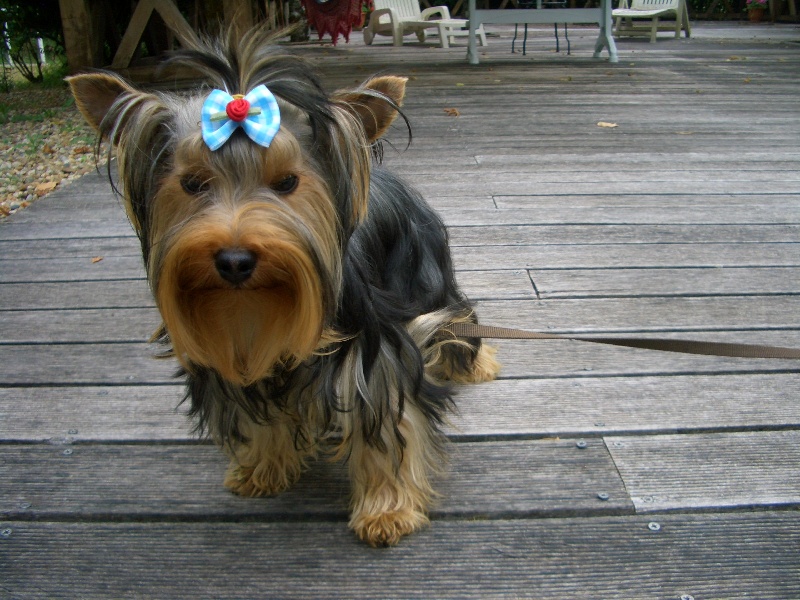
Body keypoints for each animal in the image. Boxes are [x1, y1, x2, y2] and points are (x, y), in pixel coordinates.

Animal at [68, 28, 500, 547]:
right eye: (192, 184)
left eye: (288, 181)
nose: (234, 260)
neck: (252, 306)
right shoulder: (232, 357)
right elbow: (255, 415)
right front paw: (263, 468)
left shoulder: (374, 350)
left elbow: (385, 421)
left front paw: (386, 510)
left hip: (424, 274)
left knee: (457, 317)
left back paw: (475, 364)